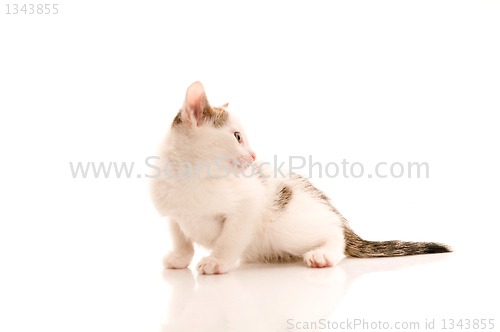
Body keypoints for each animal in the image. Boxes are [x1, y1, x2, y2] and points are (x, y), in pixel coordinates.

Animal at [150, 81, 452, 274]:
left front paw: (218, 262)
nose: (253, 155)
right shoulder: (172, 213)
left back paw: (324, 254)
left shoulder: (249, 205)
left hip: (286, 225)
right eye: (237, 137)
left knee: (334, 231)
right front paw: (180, 258)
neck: (191, 176)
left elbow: (231, 238)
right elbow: (180, 236)